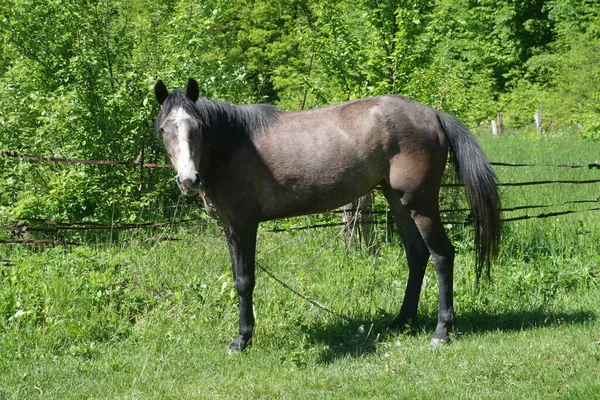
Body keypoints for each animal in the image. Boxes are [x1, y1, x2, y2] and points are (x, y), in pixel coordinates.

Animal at [152, 78, 500, 354]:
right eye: (164, 129)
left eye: (198, 128)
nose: (188, 180)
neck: (233, 144)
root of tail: (434, 115)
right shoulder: (230, 227)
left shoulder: (242, 225)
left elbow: (244, 281)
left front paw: (241, 340)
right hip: (397, 201)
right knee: (416, 256)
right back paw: (400, 321)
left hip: (420, 204)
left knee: (441, 255)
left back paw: (441, 331)